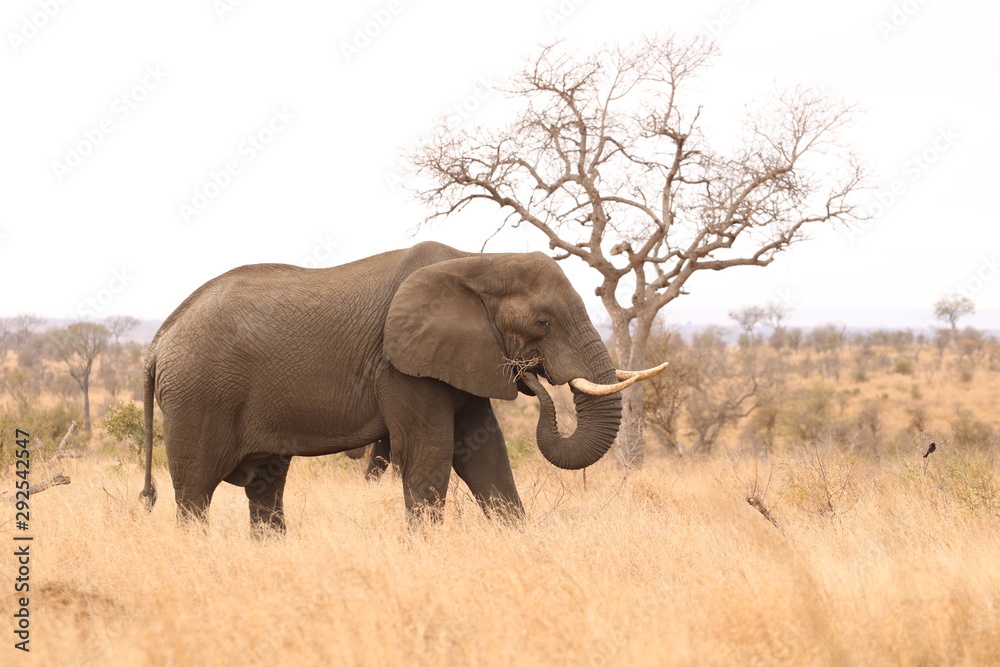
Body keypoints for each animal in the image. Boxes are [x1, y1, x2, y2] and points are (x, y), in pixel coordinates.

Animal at [139, 241, 666, 531]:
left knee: (266, 490)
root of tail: (158, 340)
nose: (531, 375)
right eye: (543, 323)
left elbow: (485, 455)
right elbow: (430, 454)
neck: (477, 262)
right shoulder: (401, 365)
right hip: (198, 396)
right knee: (194, 493)